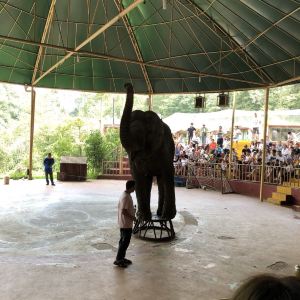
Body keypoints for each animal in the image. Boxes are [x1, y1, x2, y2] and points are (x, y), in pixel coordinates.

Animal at [119, 83, 176, 221]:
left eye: (141, 135)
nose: (126, 84)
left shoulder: (164, 147)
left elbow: (169, 171)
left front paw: (168, 217)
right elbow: (137, 174)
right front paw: (143, 217)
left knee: (161, 179)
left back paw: (160, 214)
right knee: (150, 178)